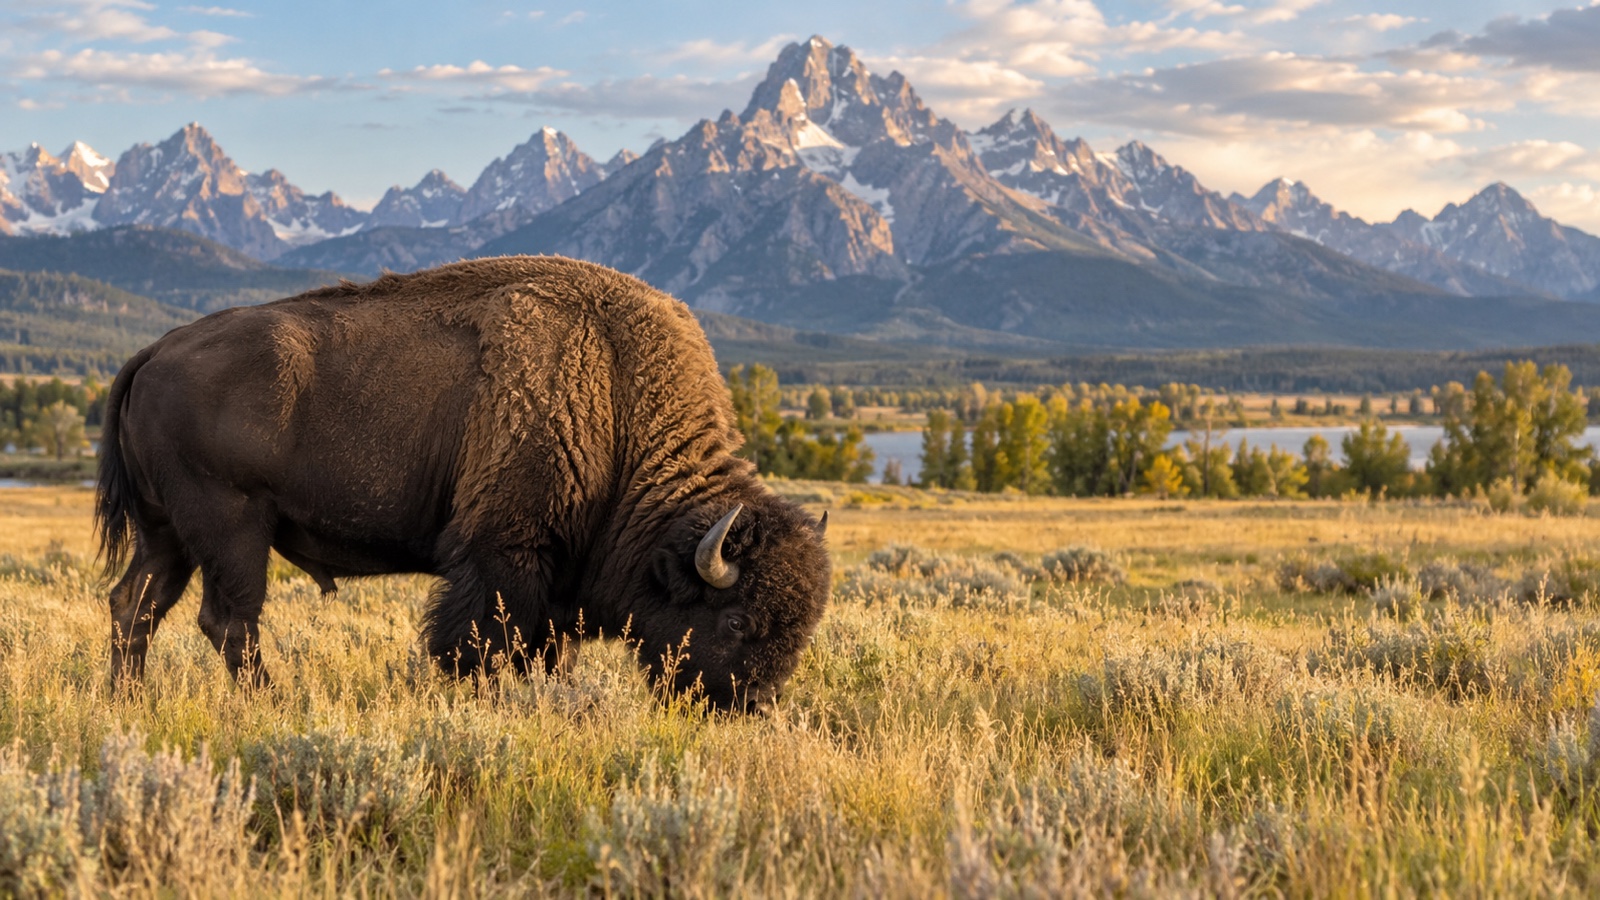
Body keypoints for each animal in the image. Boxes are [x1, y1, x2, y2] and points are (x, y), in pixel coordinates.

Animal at [96, 256, 831, 712]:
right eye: (737, 619)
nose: (754, 705)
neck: (615, 396)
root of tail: (154, 351)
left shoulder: (555, 583)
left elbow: (547, 652)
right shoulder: (504, 554)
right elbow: (484, 643)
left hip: (167, 532)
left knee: (135, 604)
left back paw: (127, 700)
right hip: (232, 527)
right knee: (229, 620)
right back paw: (269, 703)